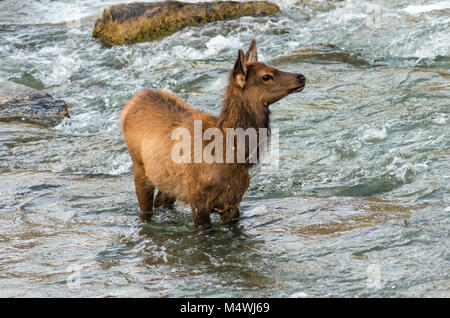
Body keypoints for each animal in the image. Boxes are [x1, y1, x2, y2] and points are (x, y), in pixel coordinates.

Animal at [119, 39, 306, 229]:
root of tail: (130, 104)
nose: (301, 77)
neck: (231, 156)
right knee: (145, 209)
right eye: (266, 76)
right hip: (139, 167)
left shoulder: (233, 200)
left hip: (167, 180)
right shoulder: (197, 198)